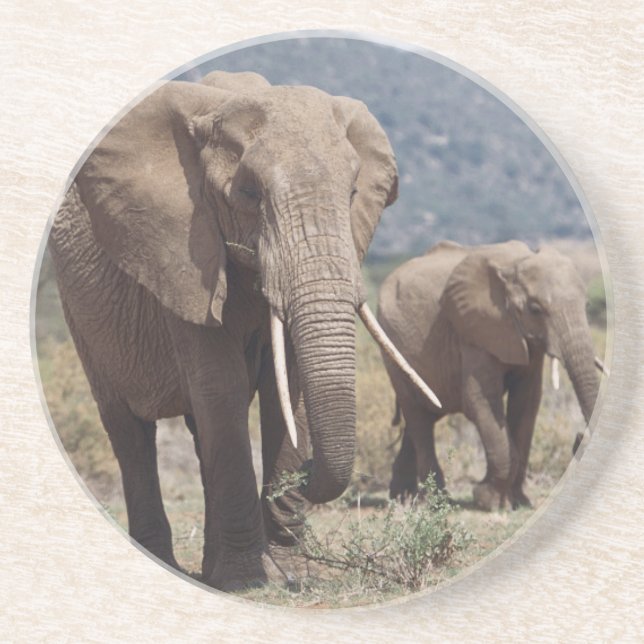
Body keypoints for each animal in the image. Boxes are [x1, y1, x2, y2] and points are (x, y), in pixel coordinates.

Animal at [47, 70, 442, 591]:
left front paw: (290, 575)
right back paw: (172, 564)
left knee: (199, 430)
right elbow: (223, 387)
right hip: (82, 313)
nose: (308, 474)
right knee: (129, 429)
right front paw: (248, 581)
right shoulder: (182, 256)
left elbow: (286, 391)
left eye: (353, 194)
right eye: (250, 196)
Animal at [376, 240, 601, 511]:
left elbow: (527, 402)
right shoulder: (475, 332)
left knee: (423, 416)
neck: (515, 264)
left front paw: (518, 502)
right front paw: (488, 500)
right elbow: (480, 400)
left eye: (586, 305)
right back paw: (436, 502)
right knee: (417, 414)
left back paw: (402, 497)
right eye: (535, 309)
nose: (578, 437)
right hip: (392, 346)